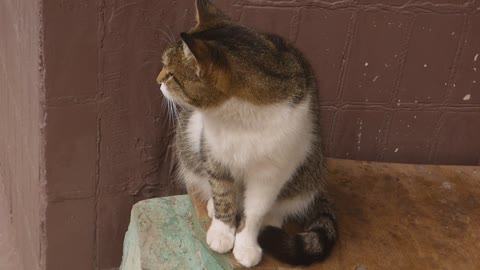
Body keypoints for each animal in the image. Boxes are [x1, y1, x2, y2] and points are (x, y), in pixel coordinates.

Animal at [156, 0, 336, 266]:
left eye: (170, 74)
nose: (157, 80)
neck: (239, 119)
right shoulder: (213, 152)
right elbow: (222, 193)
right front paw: (222, 231)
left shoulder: (272, 172)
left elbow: (256, 210)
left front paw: (246, 244)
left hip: (308, 167)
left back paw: (272, 220)